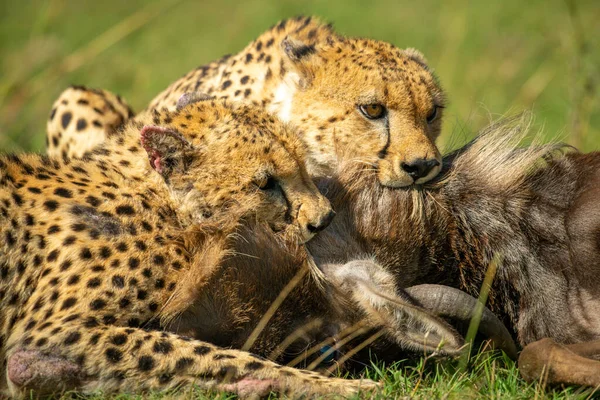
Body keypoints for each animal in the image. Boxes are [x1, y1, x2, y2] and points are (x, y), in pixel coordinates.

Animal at [0, 99, 384, 396]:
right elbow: (218, 356)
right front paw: (342, 387)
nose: (325, 218)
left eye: (304, 165)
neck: (160, 200)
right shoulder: (46, 335)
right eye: (265, 184)